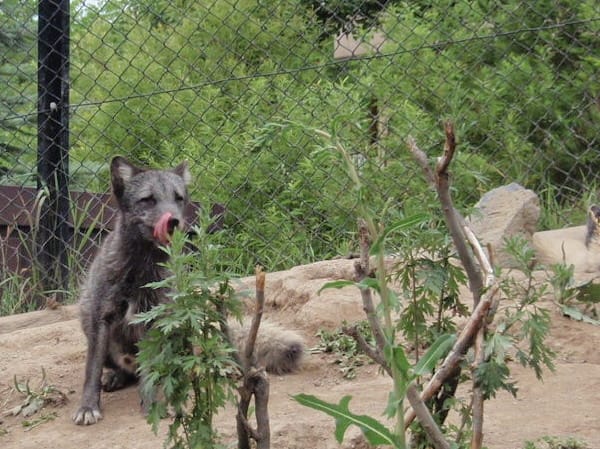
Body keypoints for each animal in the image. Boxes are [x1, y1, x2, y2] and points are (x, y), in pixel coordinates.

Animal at [72, 157, 302, 424]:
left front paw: (152, 404)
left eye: (178, 198)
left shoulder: (154, 321)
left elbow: (151, 372)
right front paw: (88, 406)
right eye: (148, 199)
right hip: (86, 313)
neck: (140, 270)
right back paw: (116, 377)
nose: (173, 221)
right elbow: (92, 370)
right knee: (124, 370)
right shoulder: (101, 316)